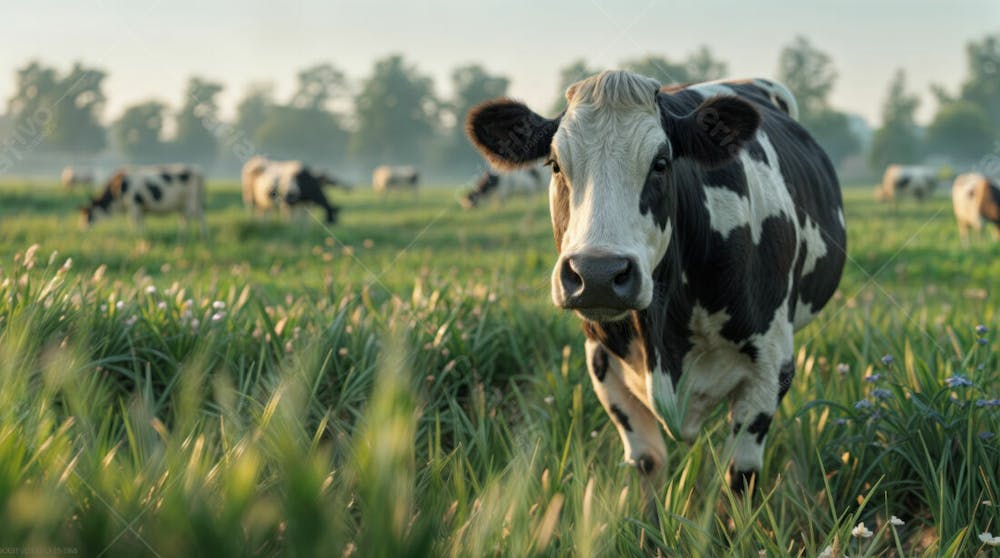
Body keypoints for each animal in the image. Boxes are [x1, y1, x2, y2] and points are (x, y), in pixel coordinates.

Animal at [466, 71, 844, 504]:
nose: (598, 274)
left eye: (660, 164)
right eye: (556, 164)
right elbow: (648, 463)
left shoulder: (771, 363)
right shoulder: (602, 362)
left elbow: (741, 476)